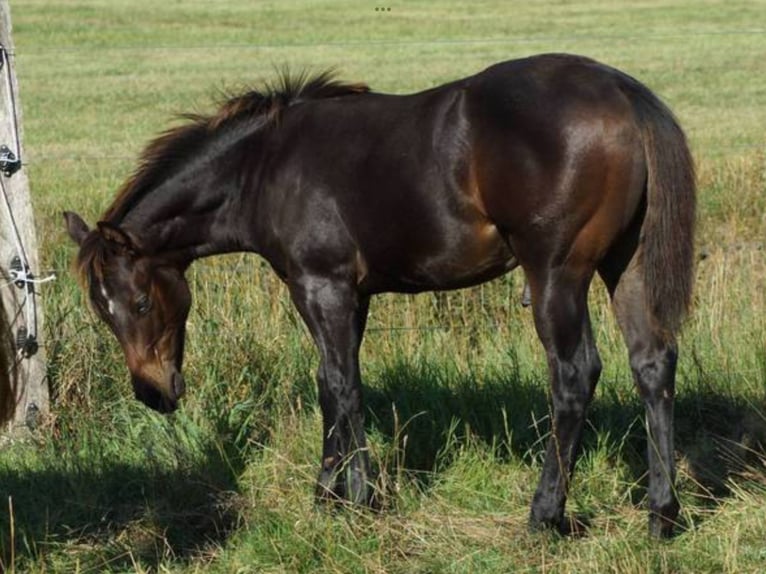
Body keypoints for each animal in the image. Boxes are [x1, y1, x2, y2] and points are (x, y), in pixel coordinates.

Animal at [64, 53, 695, 538]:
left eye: (141, 303)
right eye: (104, 314)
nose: (153, 394)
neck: (263, 167)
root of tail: (621, 93)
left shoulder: (321, 287)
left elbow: (344, 385)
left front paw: (359, 500)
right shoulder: (351, 295)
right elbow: (328, 384)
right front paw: (326, 494)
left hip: (556, 273)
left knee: (573, 374)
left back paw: (544, 516)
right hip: (627, 263)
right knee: (653, 363)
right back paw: (662, 515)